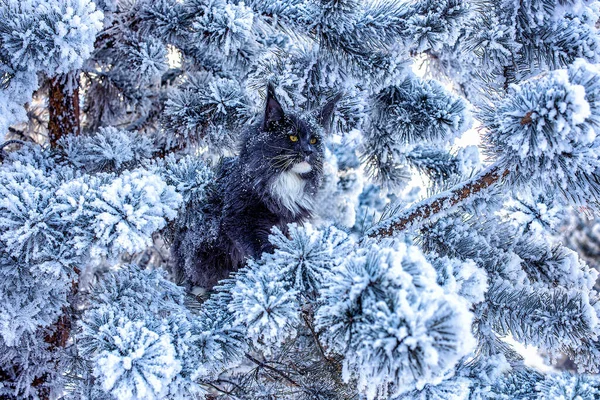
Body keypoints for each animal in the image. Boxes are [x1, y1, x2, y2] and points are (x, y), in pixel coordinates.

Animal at [171, 86, 340, 290]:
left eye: (314, 140)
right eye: (292, 137)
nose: (309, 151)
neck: (284, 178)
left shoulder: (289, 223)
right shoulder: (240, 217)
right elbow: (260, 243)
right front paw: (273, 261)